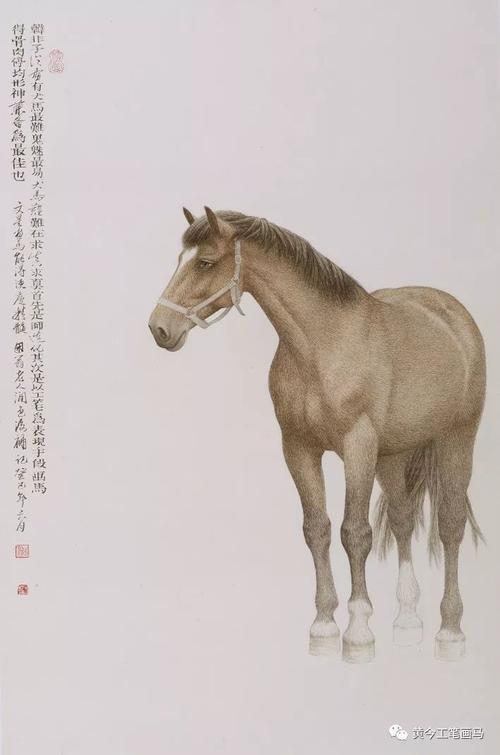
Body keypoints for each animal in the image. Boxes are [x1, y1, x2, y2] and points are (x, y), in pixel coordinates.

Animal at [149, 207, 485, 663]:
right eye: (179, 259)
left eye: (204, 262)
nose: (159, 328)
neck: (321, 346)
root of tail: (453, 315)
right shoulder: (299, 448)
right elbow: (317, 529)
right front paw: (324, 626)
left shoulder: (357, 447)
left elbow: (355, 533)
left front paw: (358, 633)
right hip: (394, 454)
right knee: (403, 520)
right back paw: (407, 623)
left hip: (457, 438)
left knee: (450, 525)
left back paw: (450, 632)